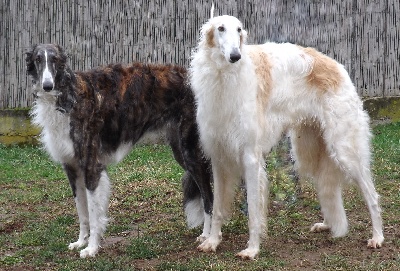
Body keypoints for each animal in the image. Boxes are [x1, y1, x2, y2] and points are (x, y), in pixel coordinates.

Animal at [25, 44, 212, 260]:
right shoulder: (71, 167)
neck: (69, 96)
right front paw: (80, 242)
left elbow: (93, 213)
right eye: (38, 59)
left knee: (209, 196)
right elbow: (82, 212)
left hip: (191, 153)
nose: (47, 85)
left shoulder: (91, 166)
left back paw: (209, 238)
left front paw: (92, 248)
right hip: (181, 151)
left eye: (55, 59)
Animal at [191, 14, 384, 260]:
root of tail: (336, 66)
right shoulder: (219, 157)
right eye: (221, 28)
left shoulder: (250, 156)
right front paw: (212, 241)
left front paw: (252, 249)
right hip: (311, 149)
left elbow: (253, 210)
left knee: (371, 195)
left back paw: (378, 236)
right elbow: (216, 208)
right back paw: (327, 224)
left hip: (344, 148)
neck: (224, 76)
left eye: (239, 30)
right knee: (329, 186)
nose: (235, 56)